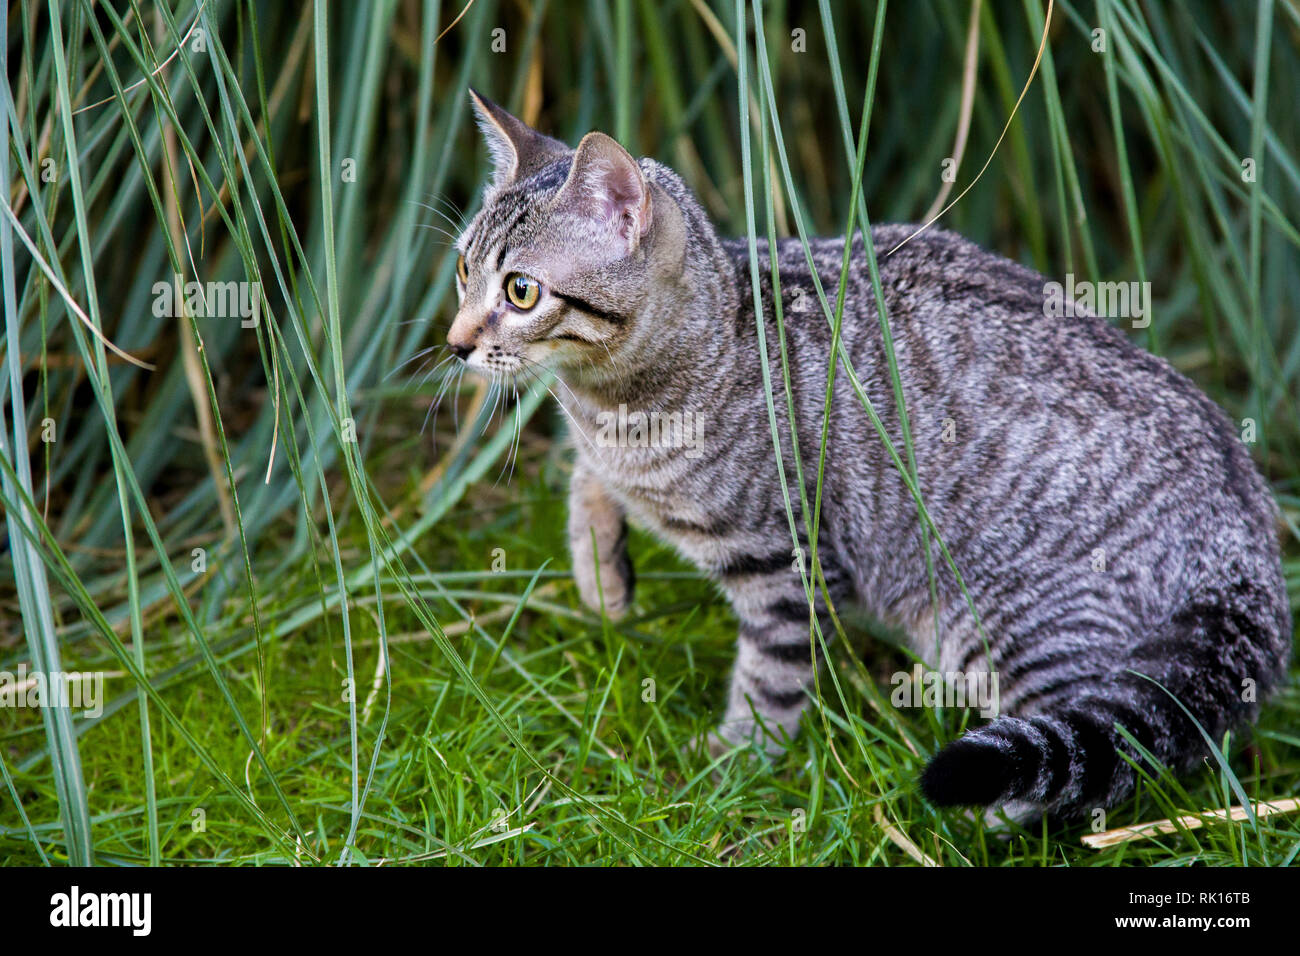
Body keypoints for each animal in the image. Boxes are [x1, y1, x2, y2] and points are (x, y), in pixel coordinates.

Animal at [444, 91, 1289, 822]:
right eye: (461, 270)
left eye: (520, 291)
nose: (454, 343)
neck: (618, 401)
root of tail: (1246, 528)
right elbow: (587, 478)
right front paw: (600, 571)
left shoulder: (784, 562)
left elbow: (772, 678)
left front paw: (730, 765)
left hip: (1010, 622)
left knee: (1108, 744)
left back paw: (1007, 813)